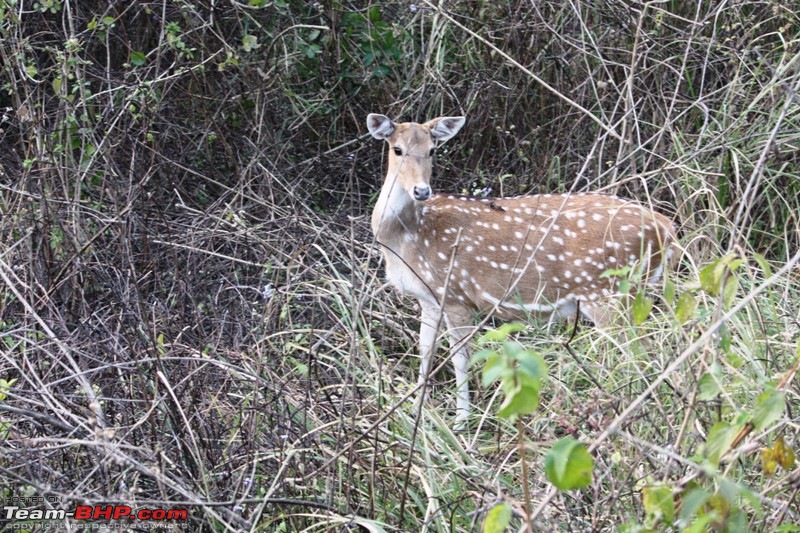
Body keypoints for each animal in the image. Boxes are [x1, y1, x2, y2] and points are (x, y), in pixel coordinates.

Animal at [368, 112, 676, 428]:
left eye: (432, 150)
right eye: (397, 149)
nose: (421, 190)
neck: (408, 239)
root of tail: (668, 229)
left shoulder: (455, 294)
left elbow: (460, 357)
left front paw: (461, 421)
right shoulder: (428, 299)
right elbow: (425, 351)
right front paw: (417, 413)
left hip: (611, 294)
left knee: (642, 351)